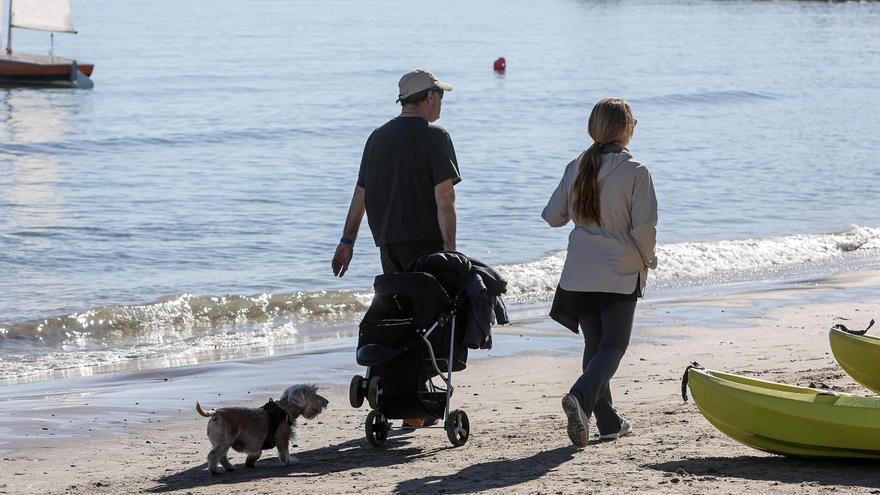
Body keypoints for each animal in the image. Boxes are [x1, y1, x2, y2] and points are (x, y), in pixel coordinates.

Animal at [194, 386, 328, 474]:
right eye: (313, 394)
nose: (326, 401)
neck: (285, 409)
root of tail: (216, 413)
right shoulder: (282, 437)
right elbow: (284, 452)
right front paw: (290, 461)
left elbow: (256, 454)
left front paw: (250, 462)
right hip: (225, 441)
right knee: (214, 455)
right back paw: (215, 470)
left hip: (224, 443)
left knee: (221, 456)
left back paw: (229, 467)